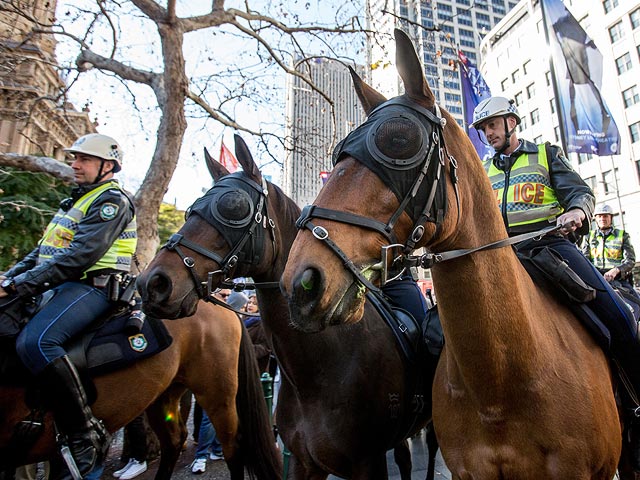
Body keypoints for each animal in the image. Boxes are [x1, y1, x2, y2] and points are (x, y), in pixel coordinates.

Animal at [138, 136, 438, 480]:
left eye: (234, 206)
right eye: (191, 210)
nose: (153, 283)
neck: (318, 373)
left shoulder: (368, 464)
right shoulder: (302, 461)